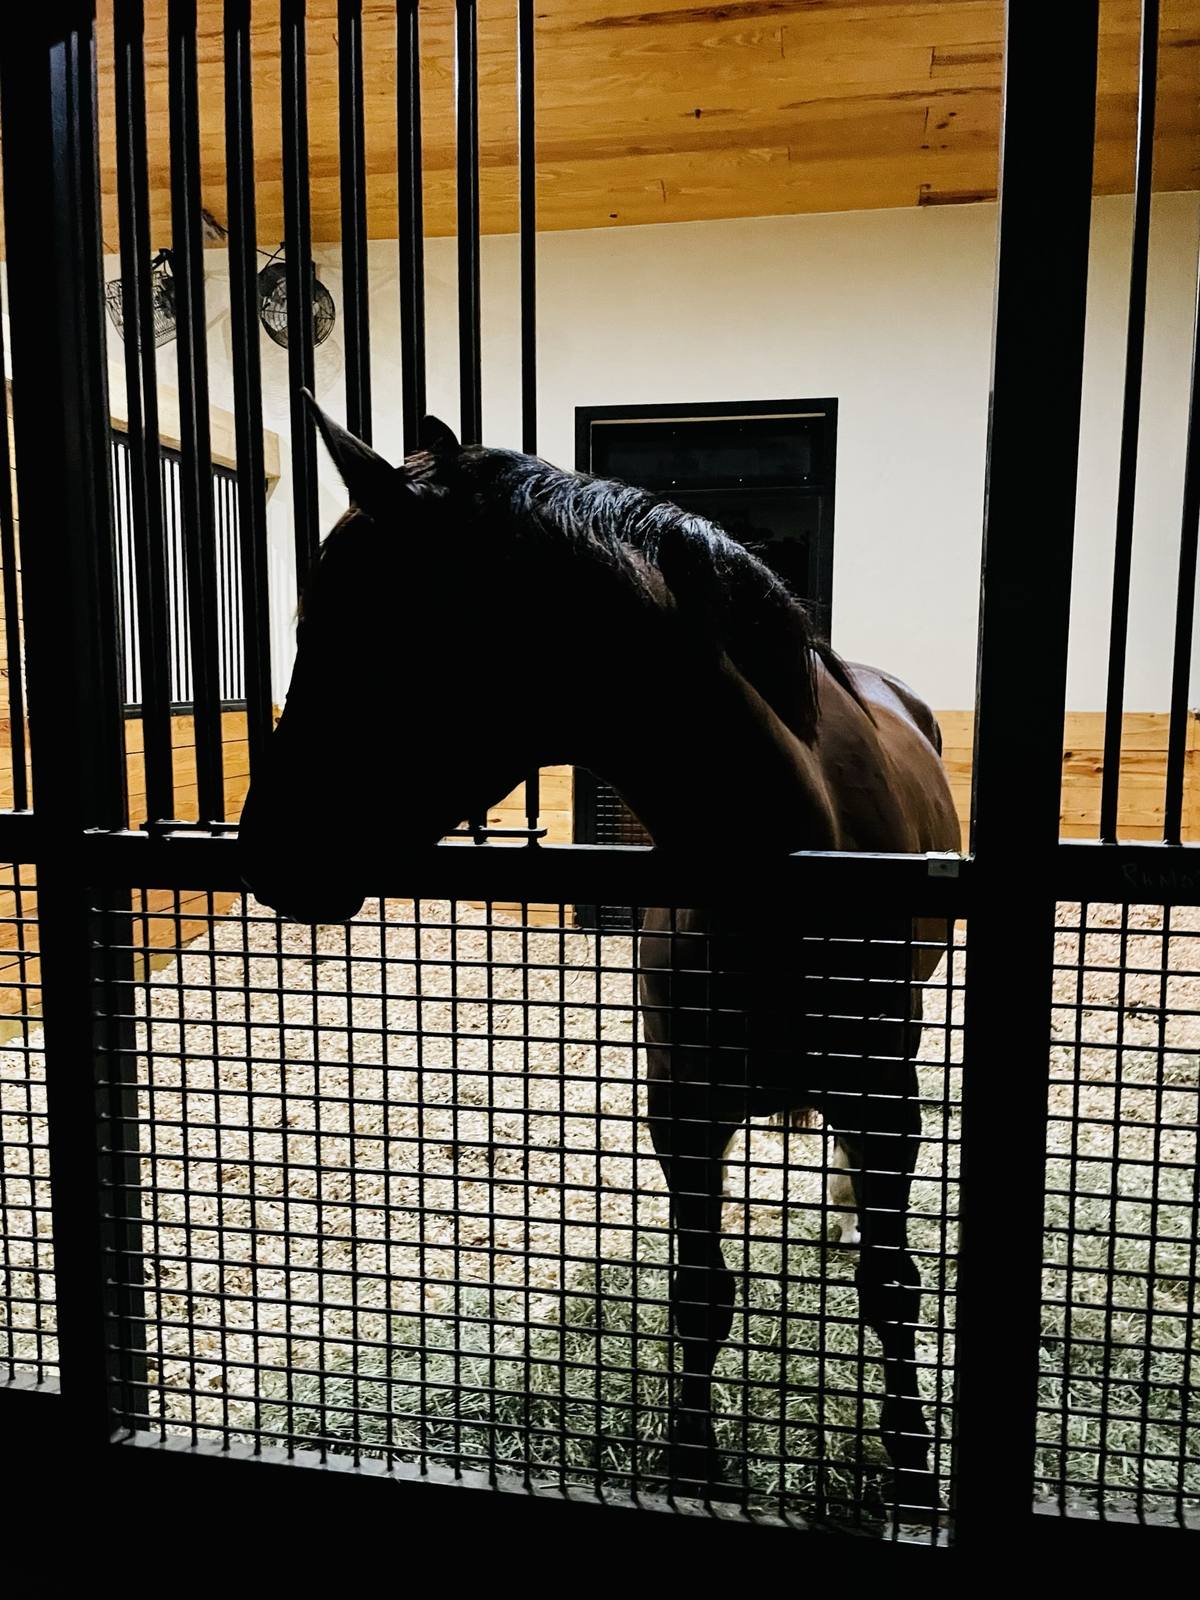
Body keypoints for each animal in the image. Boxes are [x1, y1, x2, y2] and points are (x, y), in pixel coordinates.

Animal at [238, 394, 960, 1517]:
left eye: (359, 628)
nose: (264, 850)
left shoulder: (883, 1100)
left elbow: (892, 1291)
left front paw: (917, 1473)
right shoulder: (685, 1110)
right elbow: (701, 1295)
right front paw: (692, 1465)